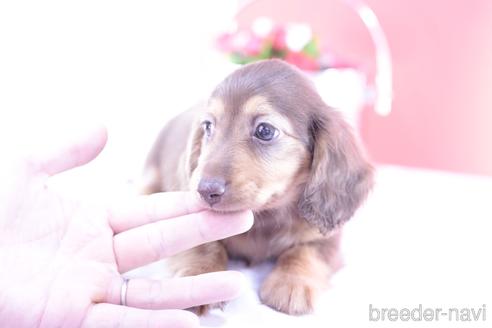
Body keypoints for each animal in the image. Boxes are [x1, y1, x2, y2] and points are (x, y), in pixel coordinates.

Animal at [142, 59, 372, 316]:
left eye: (265, 130)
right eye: (208, 126)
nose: (204, 190)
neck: (266, 218)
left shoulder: (327, 238)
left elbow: (305, 251)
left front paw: (292, 282)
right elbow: (204, 245)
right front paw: (200, 274)